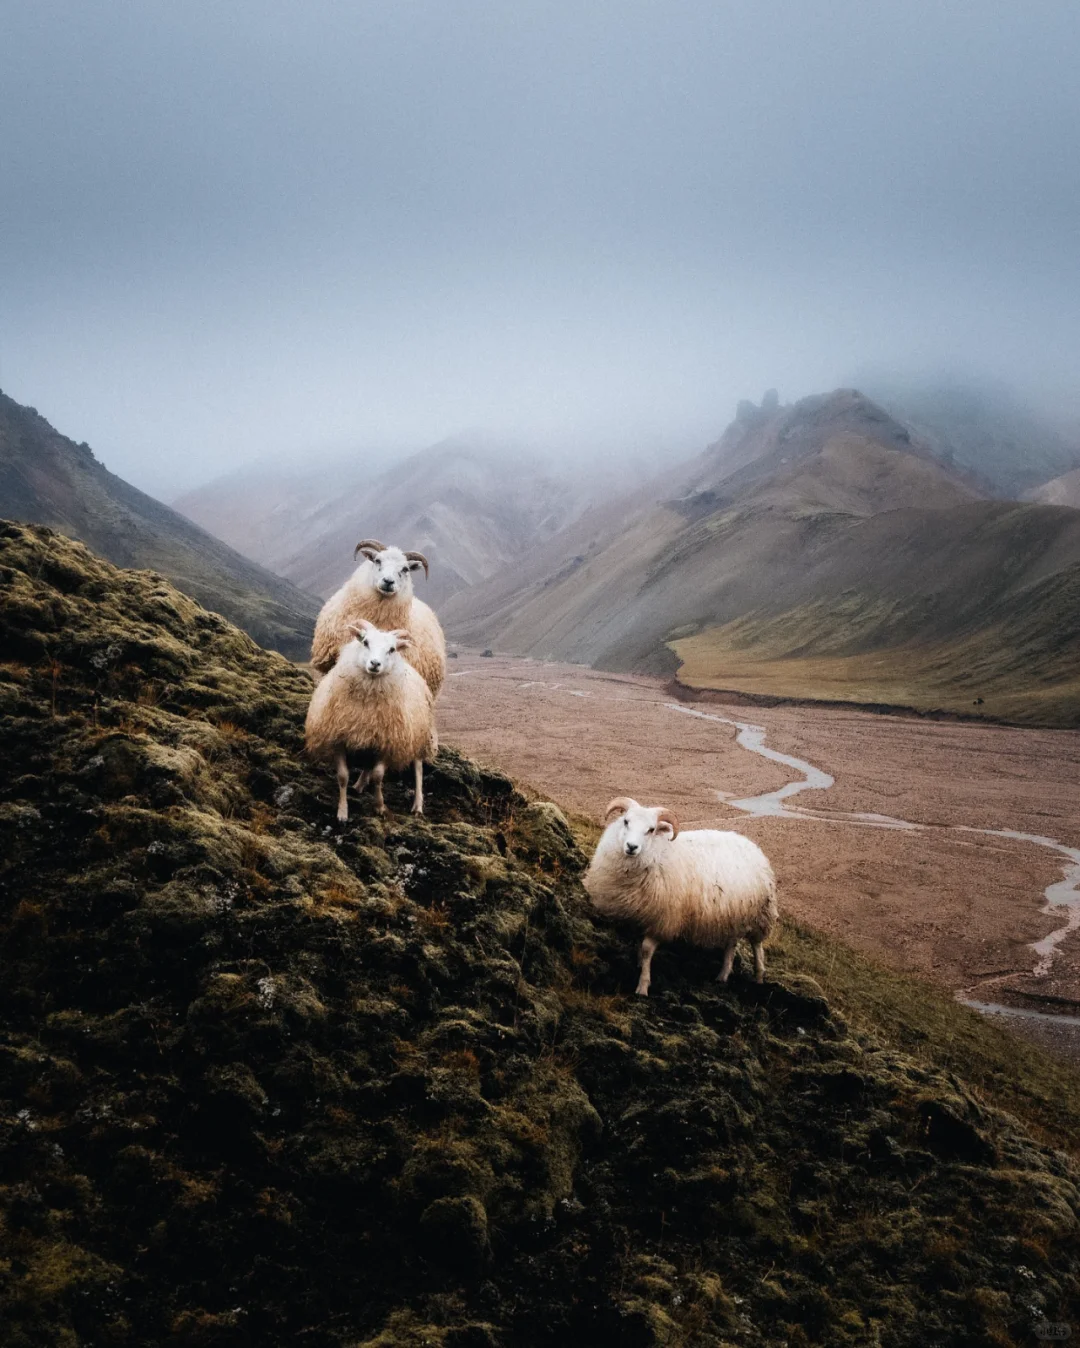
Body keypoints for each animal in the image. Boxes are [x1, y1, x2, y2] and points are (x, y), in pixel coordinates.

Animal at [300, 617, 436, 819]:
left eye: (392, 649)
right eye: (365, 642)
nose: (375, 664)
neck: (366, 705)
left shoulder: (388, 743)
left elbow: (378, 776)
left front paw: (379, 806)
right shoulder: (339, 738)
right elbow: (343, 776)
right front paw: (342, 811)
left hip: (419, 735)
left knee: (418, 769)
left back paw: (417, 805)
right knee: (366, 765)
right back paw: (358, 785)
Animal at [582, 792, 776, 997]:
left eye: (651, 829)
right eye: (626, 821)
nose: (632, 846)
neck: (656, 852)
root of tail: (751, 845)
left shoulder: (662, 919)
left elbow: (646, 950)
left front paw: (643, 986)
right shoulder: (636, 915)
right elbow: (638, 945)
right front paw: (638, 964)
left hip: (761, 914)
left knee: (757, 946)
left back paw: (759, 977)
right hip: (733, 914)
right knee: (731, 944)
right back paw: (722, 976)